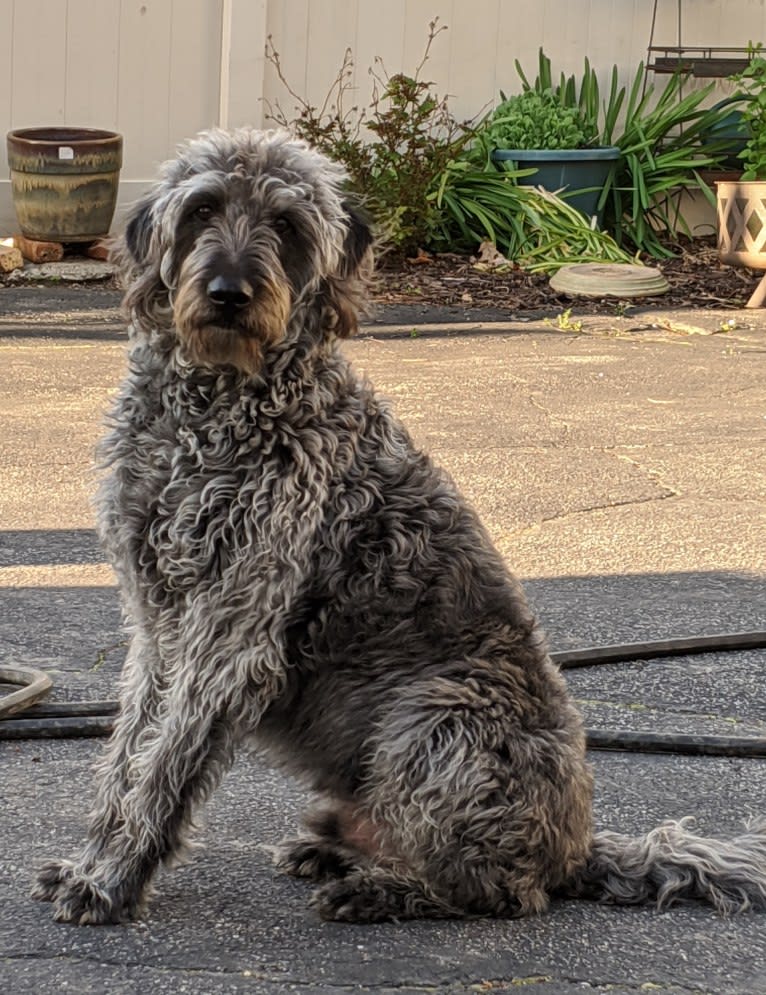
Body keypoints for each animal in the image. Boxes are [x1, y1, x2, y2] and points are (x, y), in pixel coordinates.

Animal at [33, 128, 766, 924]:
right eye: (202, 209)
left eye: (286, 224)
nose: (229, 294)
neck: (214, 405)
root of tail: (574, 849)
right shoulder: (157, 623)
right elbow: (128, 751)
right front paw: (91, 858)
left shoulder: (230, 629)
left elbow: (164, 764)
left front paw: (112, 878)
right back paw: (339, 854)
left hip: (438, 713)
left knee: (501, 892)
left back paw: (383, 889)